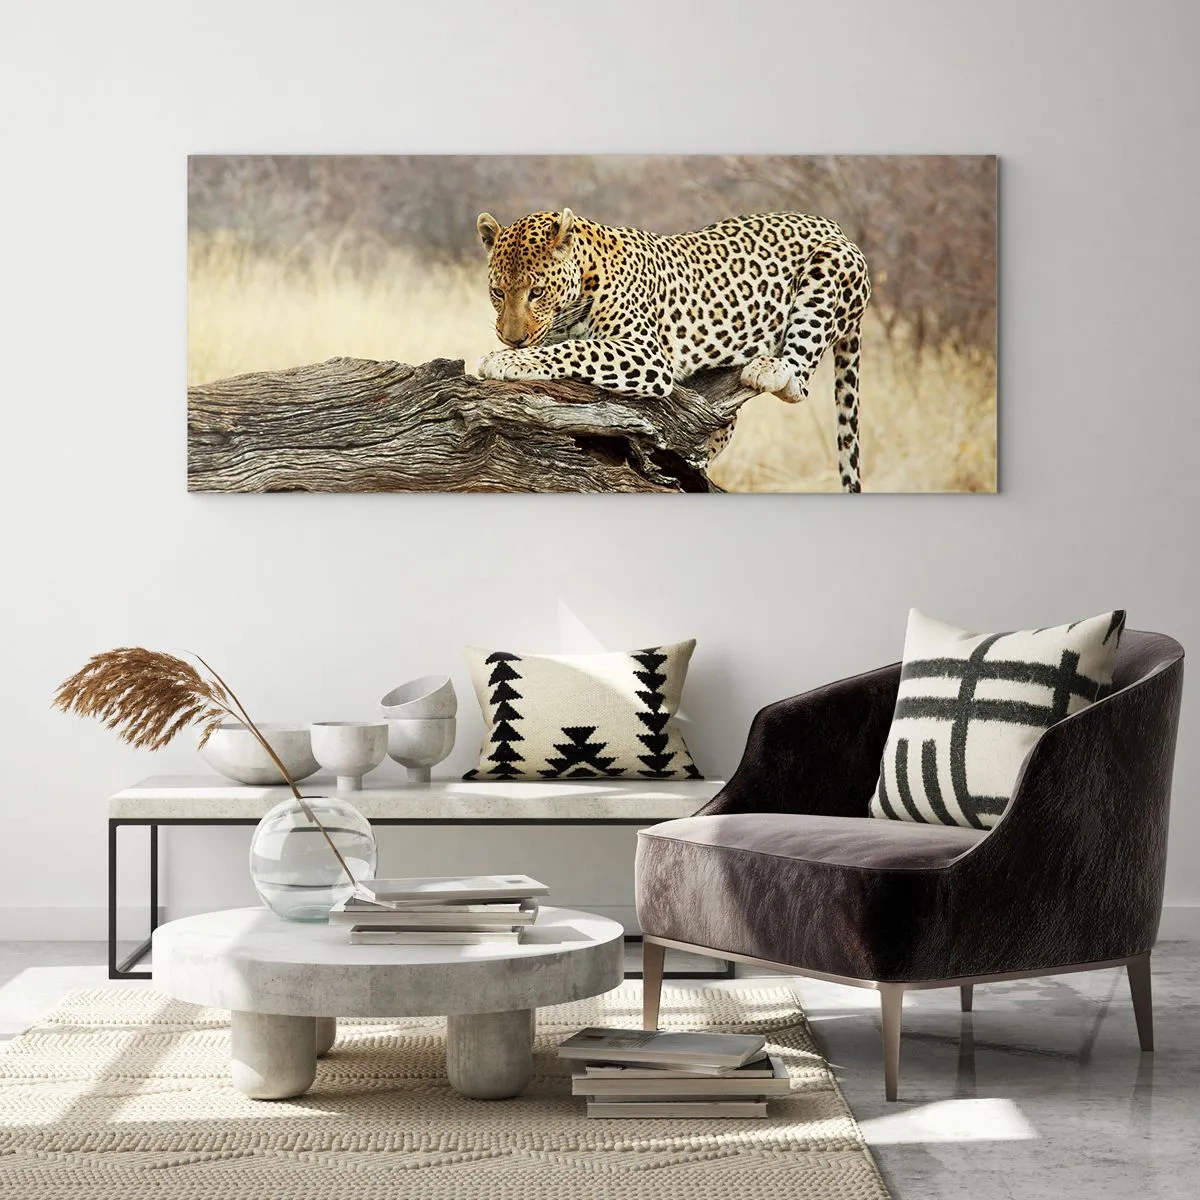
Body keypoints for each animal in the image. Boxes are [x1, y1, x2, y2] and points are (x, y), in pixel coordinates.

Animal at [475, 207, 871, 492]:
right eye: (497, 292)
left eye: (537, 292)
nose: (512, 339)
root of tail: (834, 226)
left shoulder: (646, 353)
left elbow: (577, 350)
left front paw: (506, 360)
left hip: (829, 268)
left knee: (799, 381)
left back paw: (771, 369)